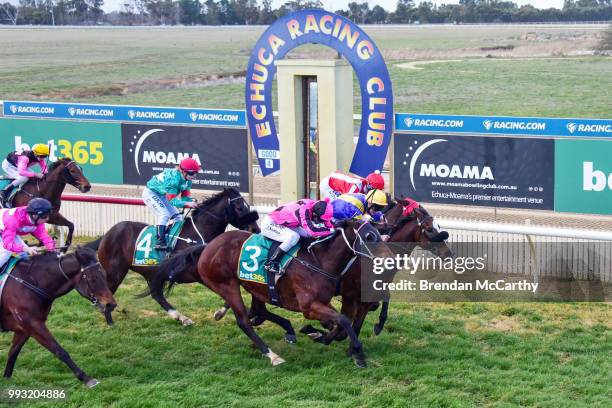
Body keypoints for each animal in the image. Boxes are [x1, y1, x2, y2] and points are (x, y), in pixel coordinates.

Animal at [0, 247, 116, 388]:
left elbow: (13, 352)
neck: (29, 281)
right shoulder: (32, 323)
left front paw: (6, 378)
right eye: (93, 278)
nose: (111, 304)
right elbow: (59, 350)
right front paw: (86, 378)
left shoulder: (24, 328)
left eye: (104, 274)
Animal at [83, 187, 258, 326]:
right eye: (239, 207)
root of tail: (107, 235)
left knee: (156, 295)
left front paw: (226, 312)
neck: (198, 232)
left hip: (148, 272)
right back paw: (109, 319)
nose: (255, 229)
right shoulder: (195, 273)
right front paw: (225, 312)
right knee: (107, 290)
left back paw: (181, 317)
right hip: (115, 271)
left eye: (247, 206)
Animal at [153, 218, 392, 368]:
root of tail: (208, 246)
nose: (389, 258)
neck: (319, 261)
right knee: (244, 321)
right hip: (226, 285)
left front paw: (318, 334)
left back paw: (287, 331)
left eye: (379, 234)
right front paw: (358, 355)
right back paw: (272, 355)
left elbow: (342, 324)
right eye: (369, 237)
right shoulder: (310, 306)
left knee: (258, 311)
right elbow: (343, 321)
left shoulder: (329, 301)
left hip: (252, 285)